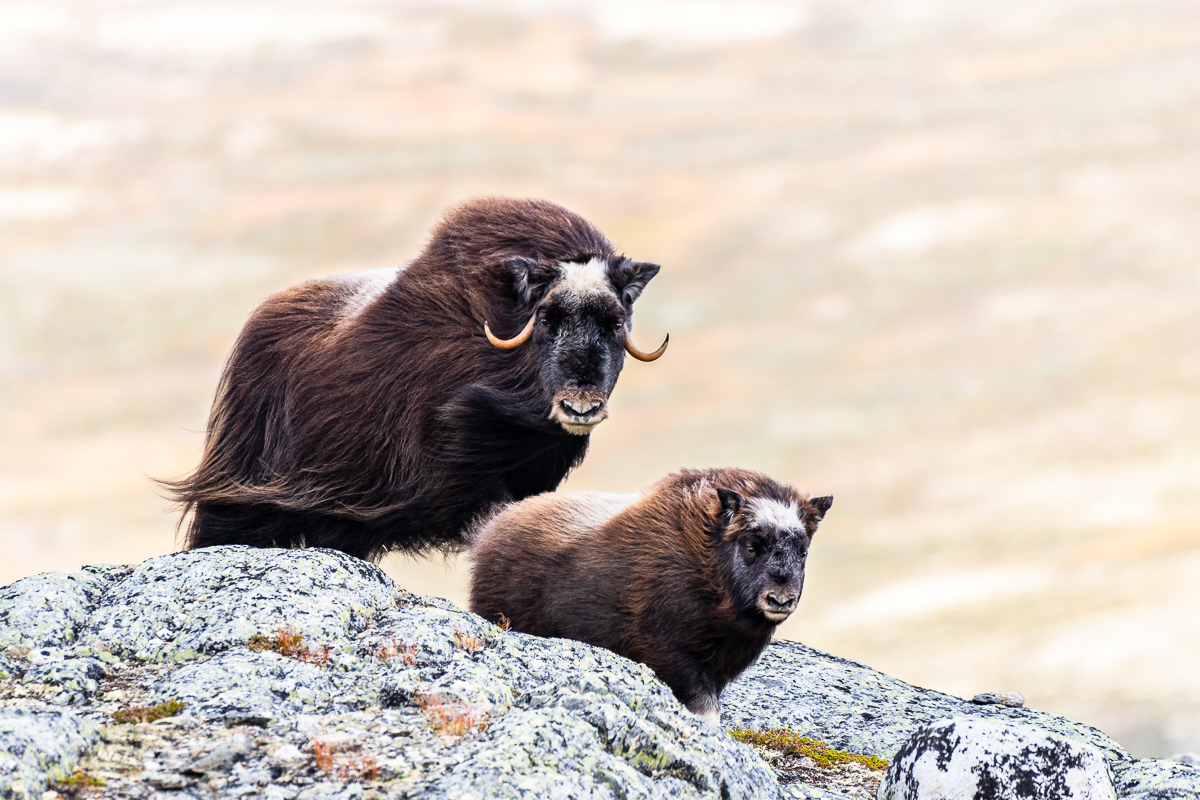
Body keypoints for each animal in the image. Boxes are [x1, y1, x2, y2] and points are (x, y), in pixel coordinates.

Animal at [468, 465, 835, 724]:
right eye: (750, 546)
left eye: (803, 551)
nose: (780, 600)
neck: (708, 563)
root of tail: (491, 528)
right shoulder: (674, 655)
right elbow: (706, 710)